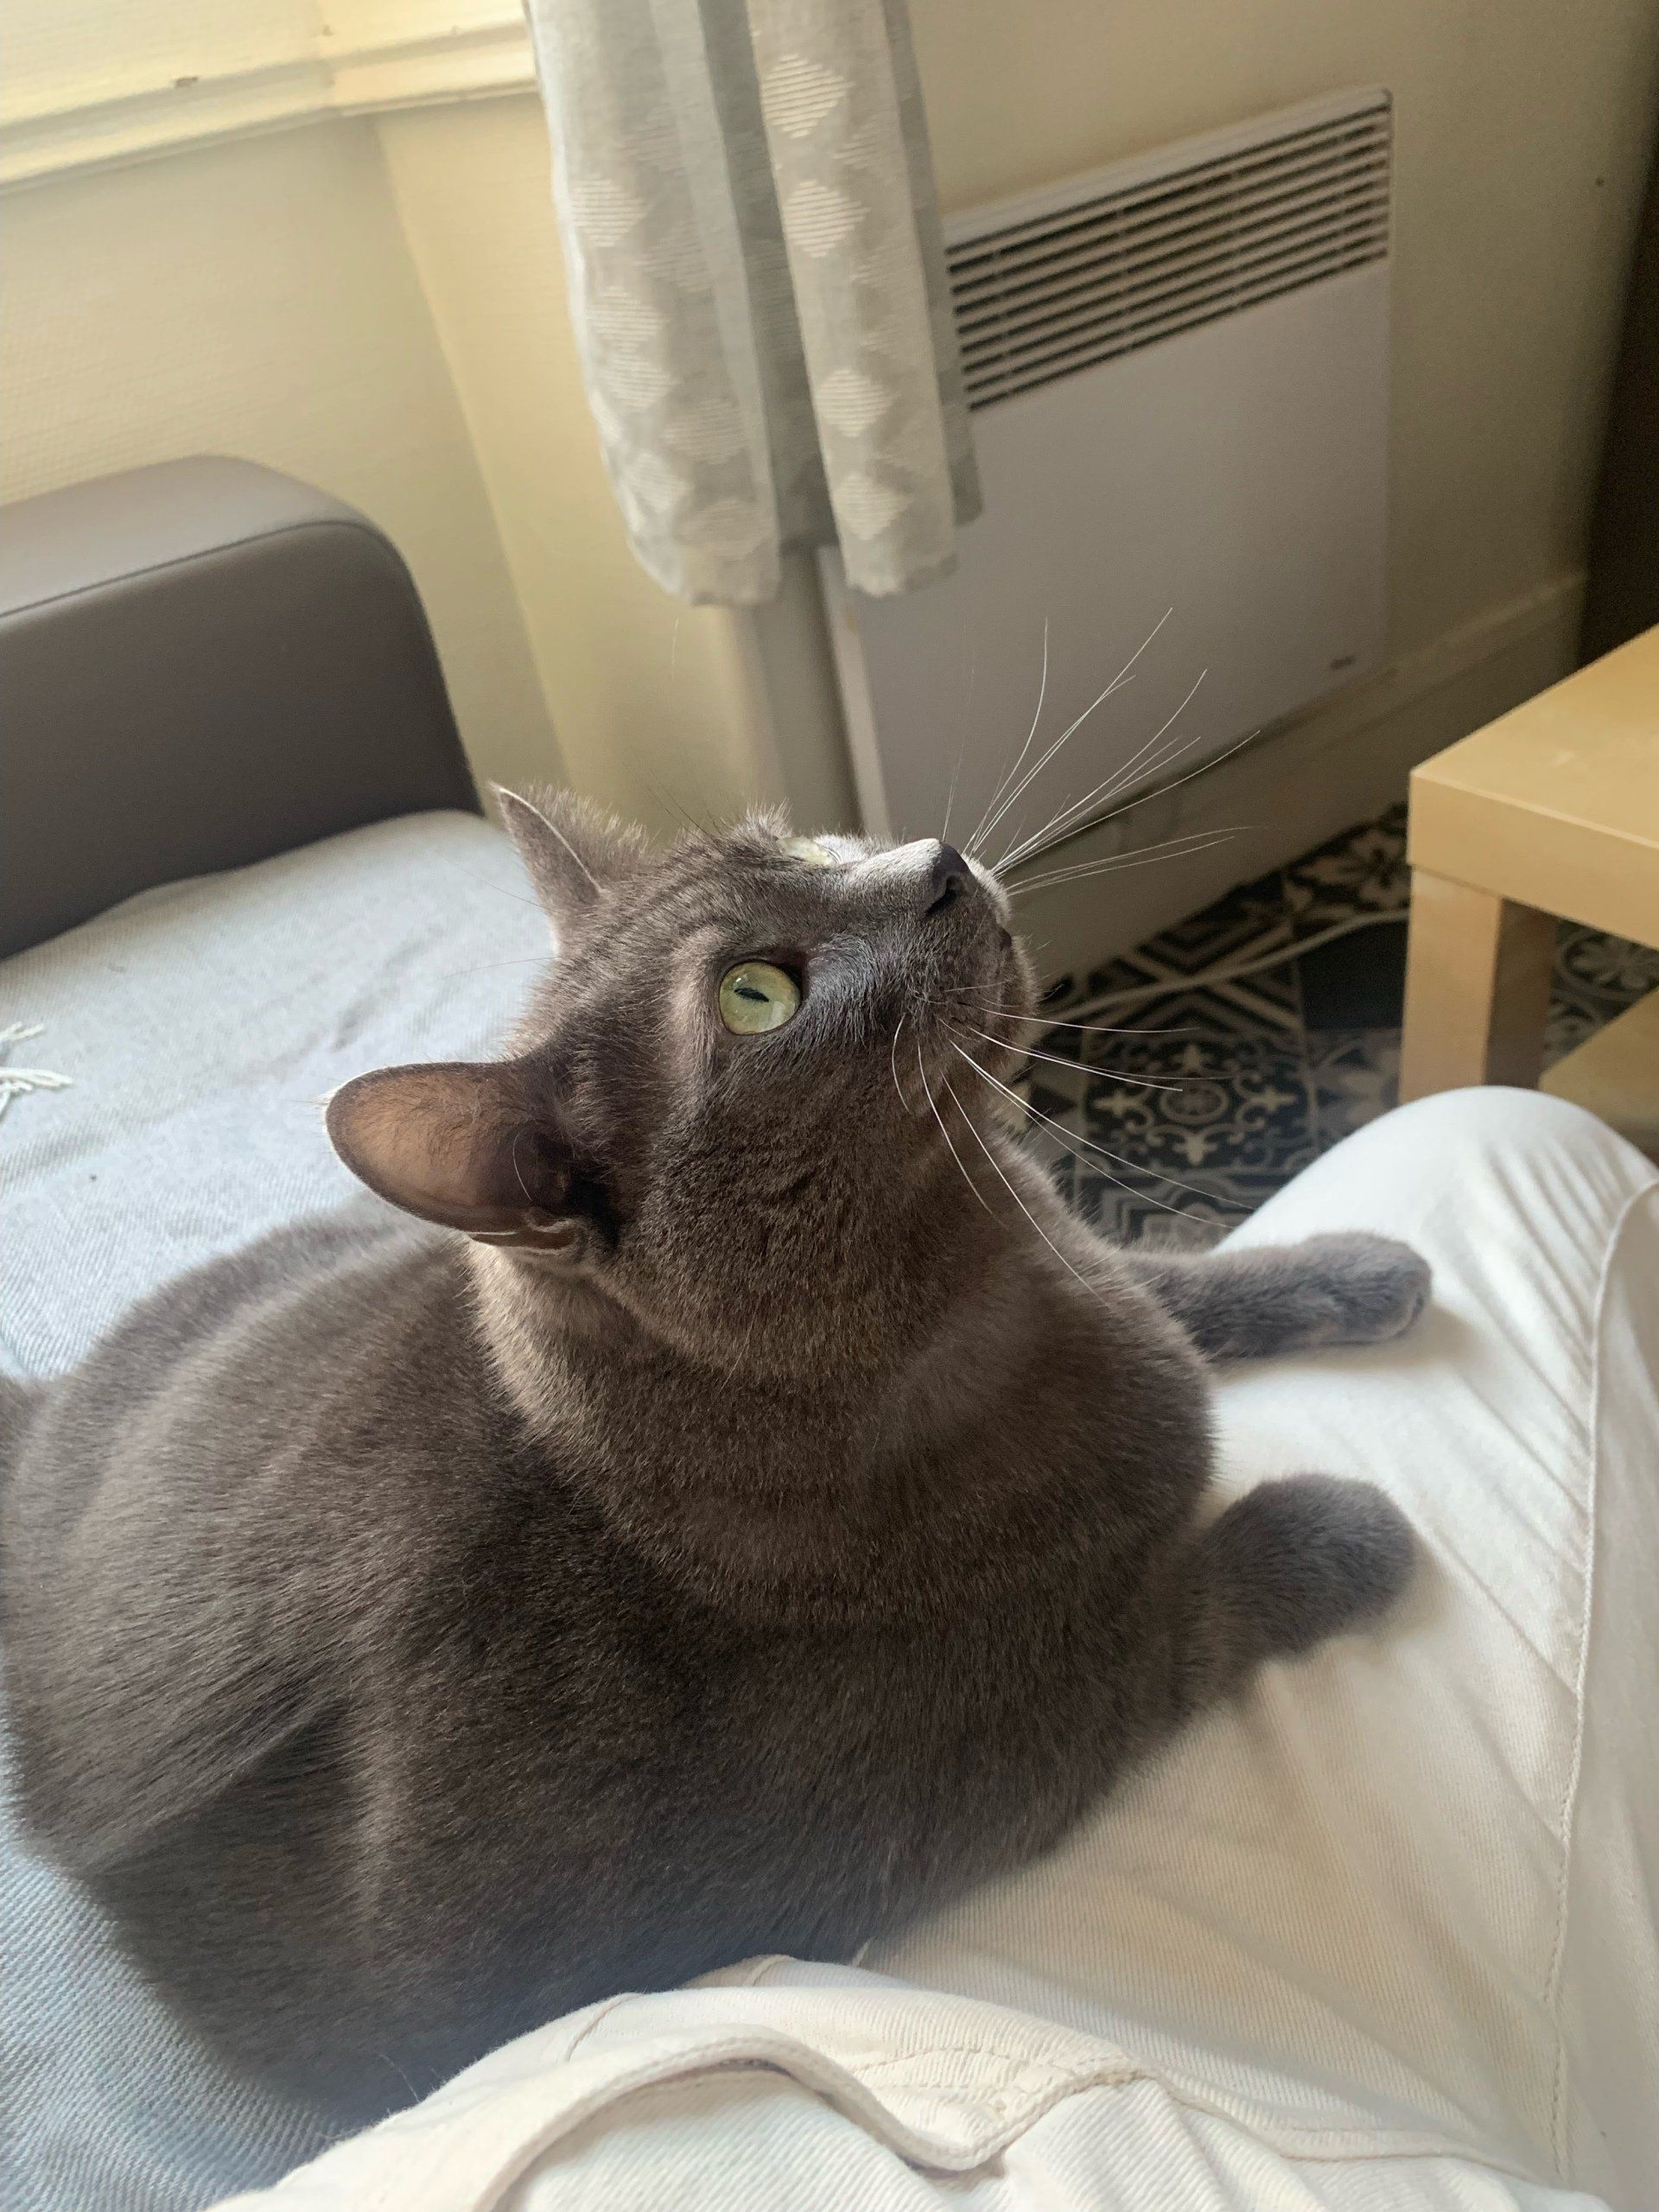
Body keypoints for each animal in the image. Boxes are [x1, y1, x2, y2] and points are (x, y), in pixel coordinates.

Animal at [0, 791, 1427, 2124]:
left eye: (800, 842)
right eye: (756, 996)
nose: (930, 861)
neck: (988, 1300)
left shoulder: (1095, 1273)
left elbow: (1174, 1276)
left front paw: (1357, 1267)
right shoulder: (996, 1750)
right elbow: (1191, 1609)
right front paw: (1347, 1530)